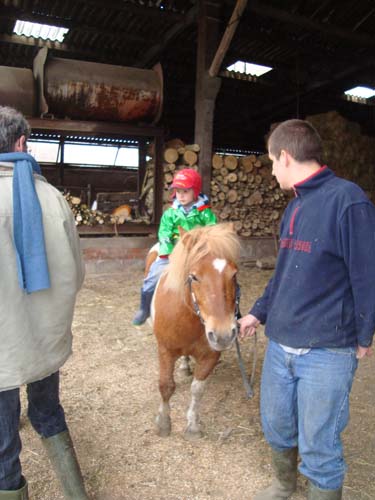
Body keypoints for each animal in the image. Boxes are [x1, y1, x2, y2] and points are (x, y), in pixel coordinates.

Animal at [152, 225, 241, 440]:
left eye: (234, 274)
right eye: (194, 277)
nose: (223, 335)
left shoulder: (210, 355)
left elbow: (197, 389)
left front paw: (192, 426)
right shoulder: (165, 351)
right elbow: (166, 386)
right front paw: (164, 423)